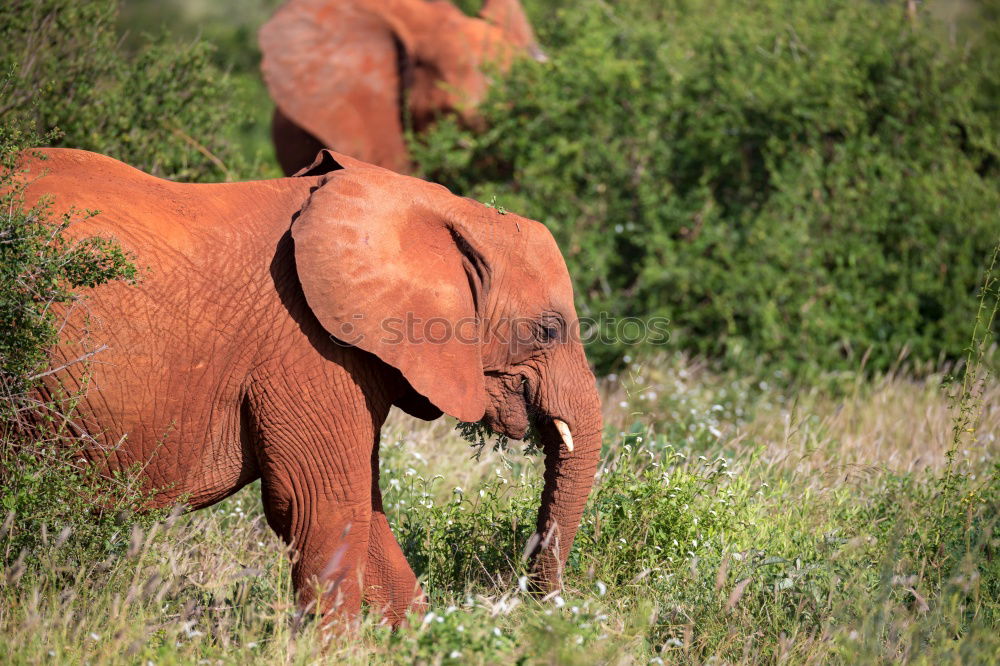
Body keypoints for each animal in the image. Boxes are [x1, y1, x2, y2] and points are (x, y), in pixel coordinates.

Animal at [19, 148, 600, 624]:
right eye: (548, 330)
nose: (538, 605)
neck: (429, 205)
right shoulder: (305, 345)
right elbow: (324, 506)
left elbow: (363, 509)